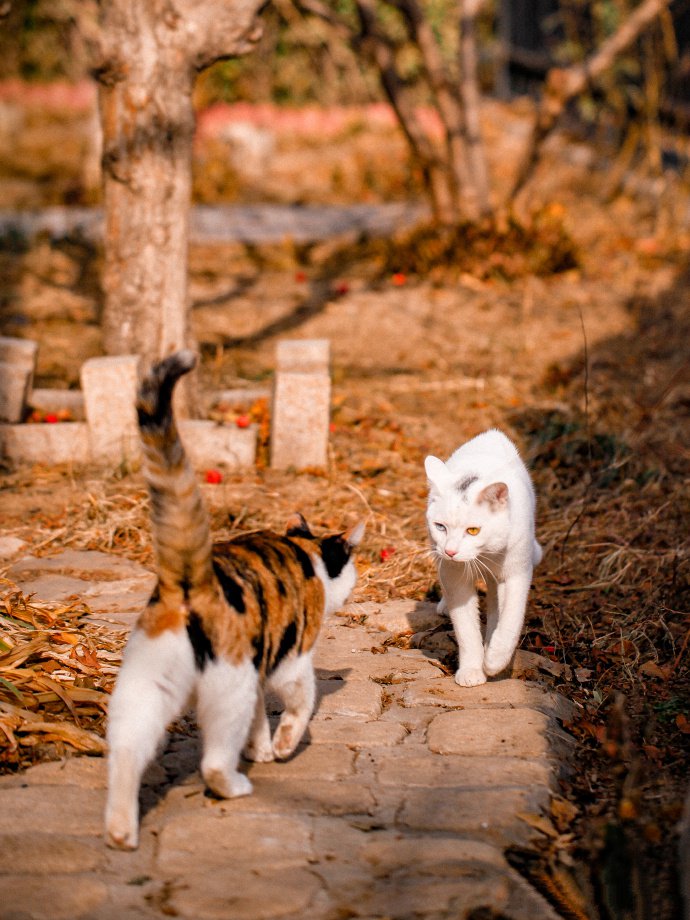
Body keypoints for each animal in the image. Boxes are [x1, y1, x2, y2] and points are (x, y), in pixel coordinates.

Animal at [105, 350, 362, 848]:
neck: (304, 552)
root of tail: (189, 579)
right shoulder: (289, 660)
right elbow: (299, 705)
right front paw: (281, 746)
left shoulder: (261, 669)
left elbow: (261, 717)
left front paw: (261, 748)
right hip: (230, 685)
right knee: (213, 760)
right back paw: (235, 785)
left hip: (146, 685)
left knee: (126, 749)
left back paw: (121, 830)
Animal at [422, 428, 540, 688]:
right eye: (440, 527)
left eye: (473, 530)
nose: (451, 551)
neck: (484, 554)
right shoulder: (454, 577)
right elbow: (466, 628)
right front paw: (472, 670)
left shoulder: (517, 572)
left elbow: (511, 618)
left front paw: (495, 659)